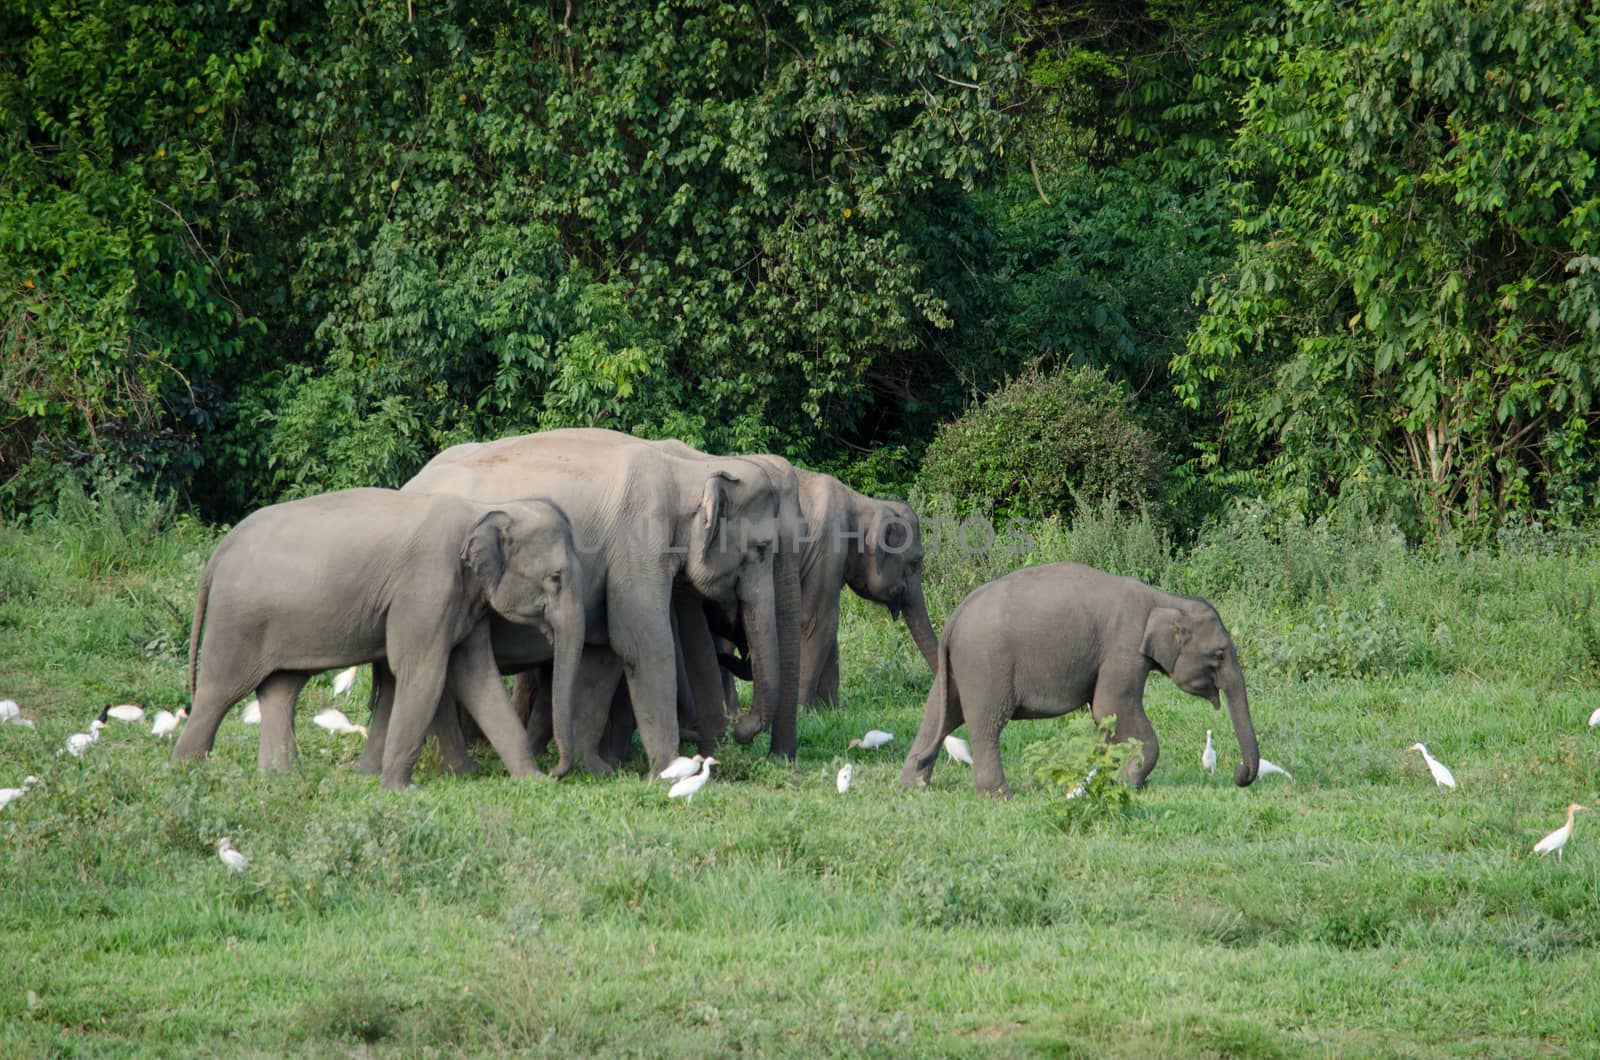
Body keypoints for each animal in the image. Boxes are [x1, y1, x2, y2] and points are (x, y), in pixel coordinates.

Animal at [172, 489, 585, 787]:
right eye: (555, 578)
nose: (556, 772)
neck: (484, 509)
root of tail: (219, 551)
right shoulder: (425, 588)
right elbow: (422, 673)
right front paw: (401, 789)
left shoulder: (466, 602)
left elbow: (477, 677)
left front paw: (531, 782)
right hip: (237, 621)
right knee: (218, 692)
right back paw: (186, 771)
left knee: (280, 690)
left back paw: (282, 778)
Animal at [400, 429, 800, 778]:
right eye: (762, 549)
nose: (743, 729)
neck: (686, 468)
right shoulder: (635, 542)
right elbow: (643, 644)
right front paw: (665, 772)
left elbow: (607, 652)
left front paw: (599, 769)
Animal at [902, 563, 1260, 797]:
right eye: (1219, 654)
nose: (1239, 774)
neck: (1166, 599)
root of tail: (954, 617)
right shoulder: (1123, 648)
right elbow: (1110, 707)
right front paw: (1131, 782)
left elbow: (1104, 720)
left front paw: (1108, 777)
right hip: (987, 665)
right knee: (987, 724)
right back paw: (1000, 795)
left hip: (958, 669)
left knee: (940, 715)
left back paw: (914, 785)